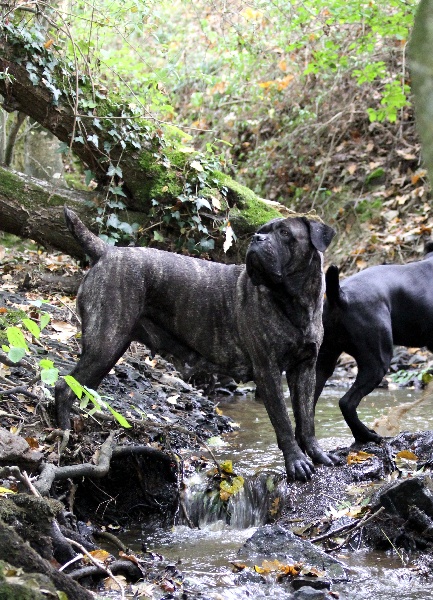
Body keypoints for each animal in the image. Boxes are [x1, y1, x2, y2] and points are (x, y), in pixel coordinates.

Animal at [55, 208, 336, 481]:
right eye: (262, 231)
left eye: (285, 233)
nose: (257, 239)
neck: (293, 302)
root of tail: (107, 251)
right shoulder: (268, 371)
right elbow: (283, 421)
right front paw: (296, 462)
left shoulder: (305, 368)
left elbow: (306, 417)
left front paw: (317, 454)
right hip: (104, 345)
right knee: (63, 387)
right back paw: (65, 434)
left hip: (109, 350)